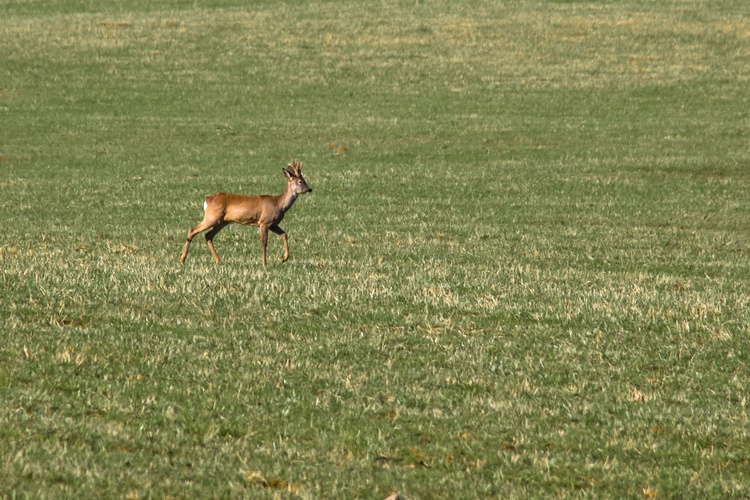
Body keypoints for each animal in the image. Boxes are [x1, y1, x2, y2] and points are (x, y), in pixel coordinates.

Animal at [179, 162, 312, 268]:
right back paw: (182, 260)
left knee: (208, 235)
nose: (309, 189)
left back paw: (218, 261)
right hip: (212, 217)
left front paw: (284, 258)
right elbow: (264, 242)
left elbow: (284, 234)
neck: (279, 203)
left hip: (222, 221)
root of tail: (207, 200)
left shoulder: (273, 224)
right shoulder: (264, 222)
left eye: (304, 179)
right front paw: (264, 263)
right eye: (300, 181)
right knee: (192, 230)